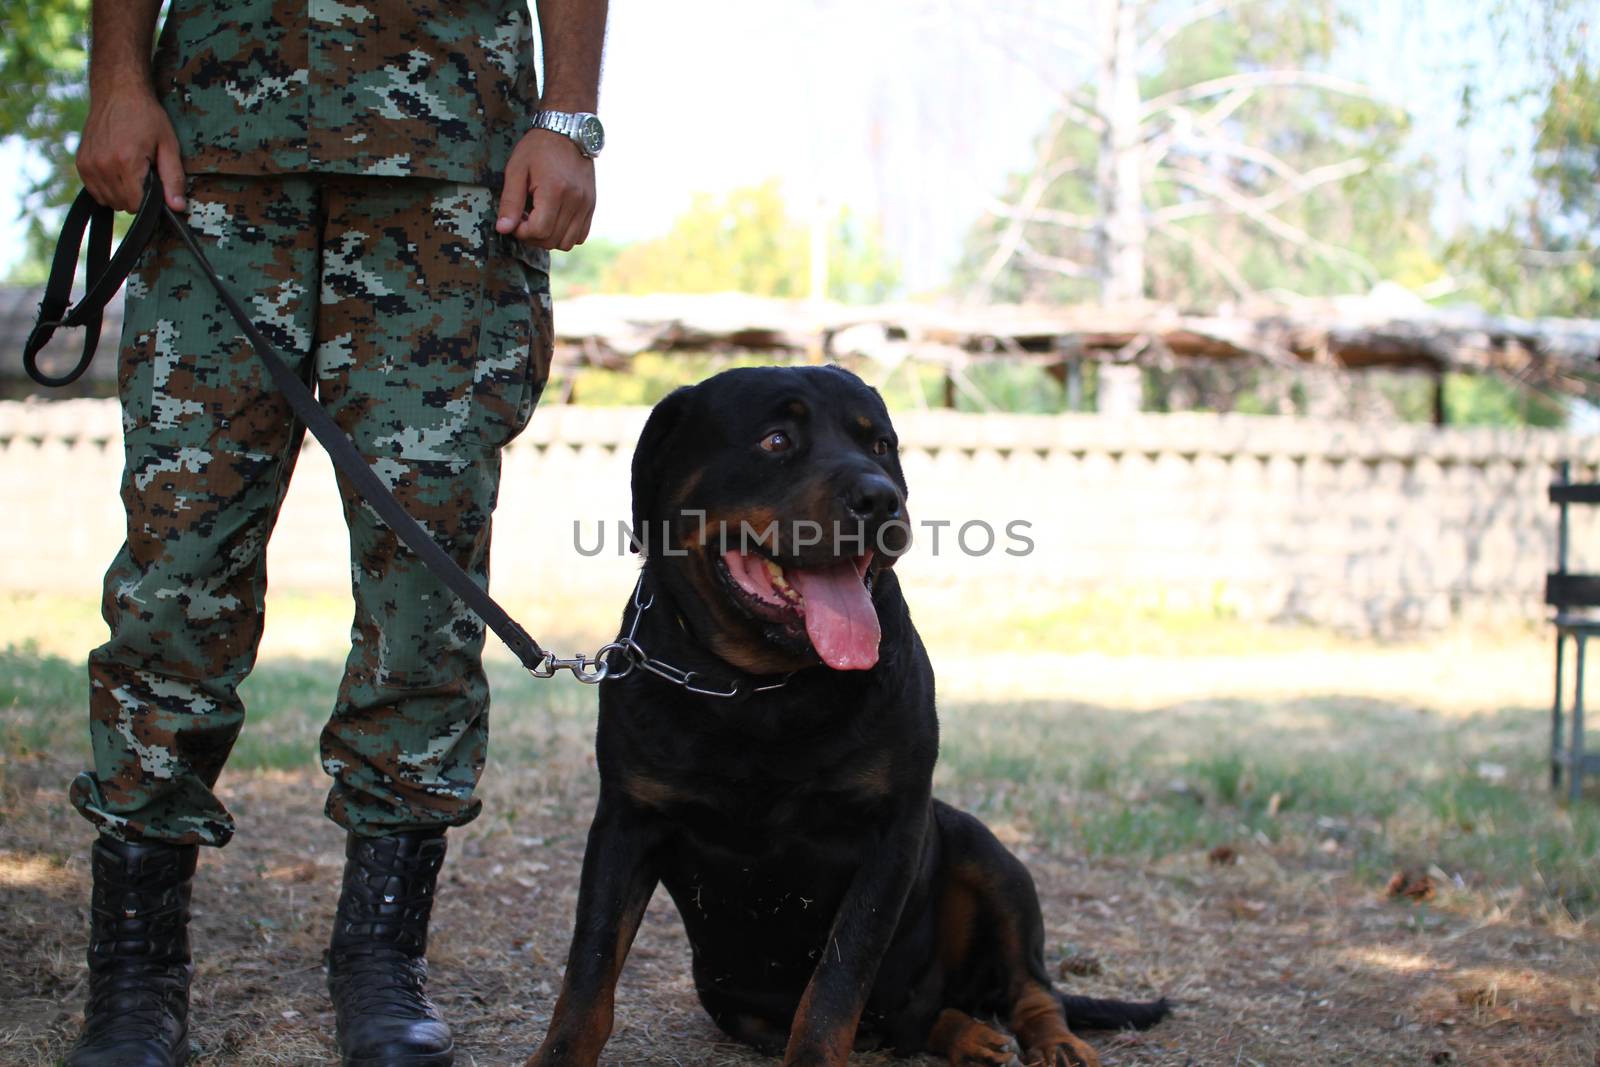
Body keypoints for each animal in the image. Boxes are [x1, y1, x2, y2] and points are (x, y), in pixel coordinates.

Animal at [531, 369, 1171, 1067]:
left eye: (881, 446)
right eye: (776, 439)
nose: (879, 497)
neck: (760, 689)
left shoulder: (893, 829)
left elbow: (837, 983)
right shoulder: (626, 821)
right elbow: (589, 970)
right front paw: (559, 1055)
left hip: (983, 850)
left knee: (1028, 985)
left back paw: (1052, 1042)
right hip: (736, 1004)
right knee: (917, 1022)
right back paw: (969, 1035)